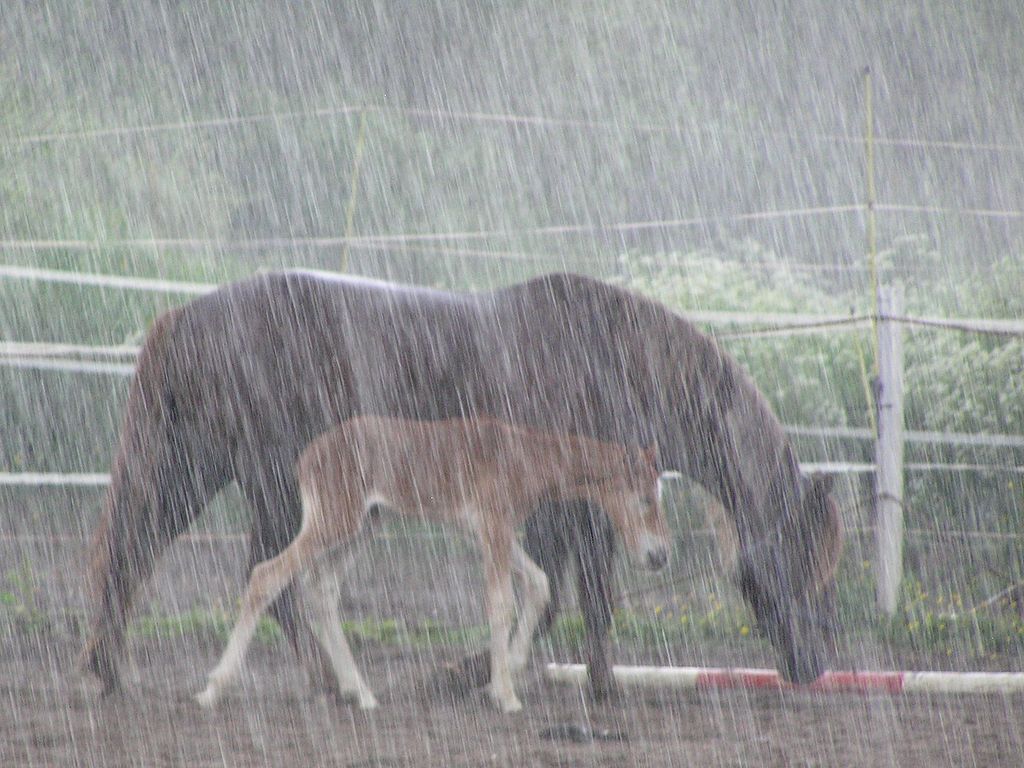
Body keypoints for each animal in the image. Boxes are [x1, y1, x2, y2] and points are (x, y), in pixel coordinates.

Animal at [83, 270, 839, 696]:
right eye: (799, 558)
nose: (815, 665)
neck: (608, 357)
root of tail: (186, 317)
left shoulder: (567, 511)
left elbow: (568, 598)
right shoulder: (565, 511)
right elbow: (566, 599)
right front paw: (488, 678)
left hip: (193, 472)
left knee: (136, 554)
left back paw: (114, 671)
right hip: (276, 490)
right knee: (268, 582)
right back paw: (325, 684)